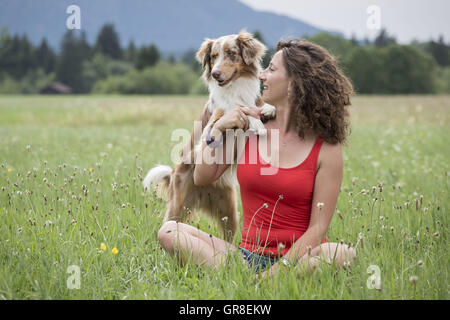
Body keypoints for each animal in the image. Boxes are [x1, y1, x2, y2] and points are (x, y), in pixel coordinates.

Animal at [142, 30, 276, 240]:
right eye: (213, 56)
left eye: (231, 53)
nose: (215, 73)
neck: (235, 88)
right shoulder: (217, 117)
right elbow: (237, 111)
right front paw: (255, 121)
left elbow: (258, 105)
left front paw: (268, 109)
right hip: (178, 205)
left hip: (230, 210)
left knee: (228, 238)